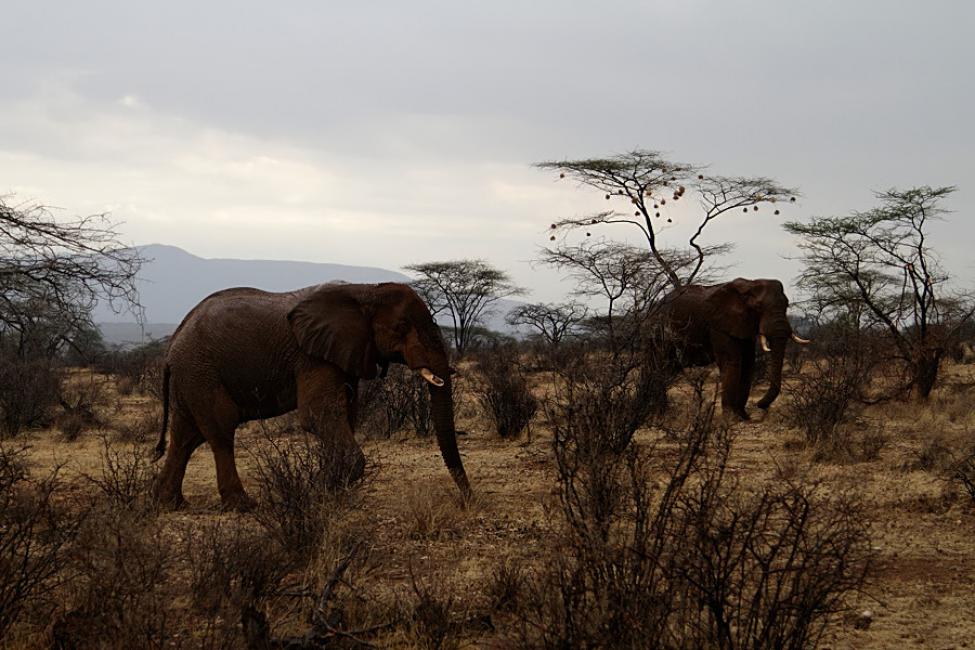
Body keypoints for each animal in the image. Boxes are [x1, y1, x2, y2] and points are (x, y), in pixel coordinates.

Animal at [153, 280, 472, 508]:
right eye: (402, 326)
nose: (467, 499)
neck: (365, 290)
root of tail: (171, 347)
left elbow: (345, 414)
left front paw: (327, 487)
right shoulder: (312, 356)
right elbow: (318, 415)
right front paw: (318, 491)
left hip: (192, 376)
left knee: (186, 435)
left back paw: (171, 504)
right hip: (201, 370)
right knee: (220, 429)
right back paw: (243, 505)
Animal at [660, 278, 812, 420]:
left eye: (786, 305)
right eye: (758, 307)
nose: (760, 405)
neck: (750, 285)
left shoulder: (745, 325)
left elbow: (748, 364)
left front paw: (743, 417)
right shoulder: (719, 326)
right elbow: (731, 362)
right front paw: (730, 419)